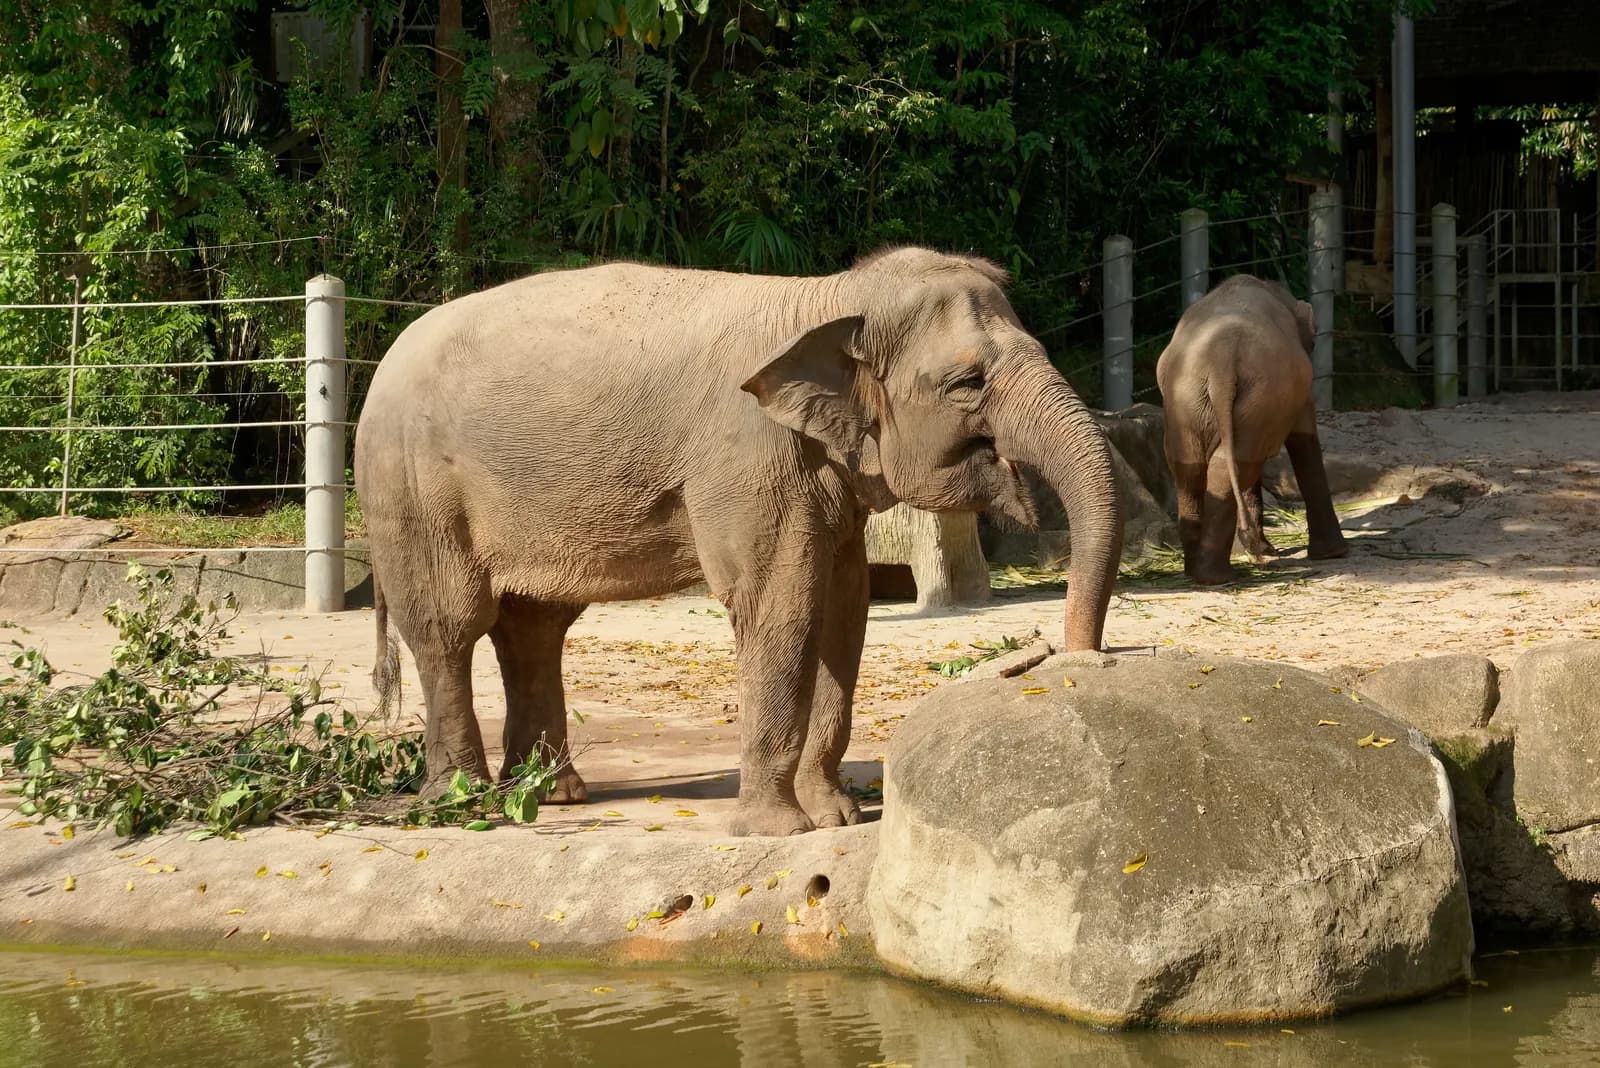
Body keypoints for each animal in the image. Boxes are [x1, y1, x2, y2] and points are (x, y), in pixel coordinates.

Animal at [353, 246, 1124, 837]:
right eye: (967, 382)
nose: (1077, 659)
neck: (828, 298)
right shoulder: (749, 459)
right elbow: (781, 603)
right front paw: (780, 832)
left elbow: (844, 605)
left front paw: (838, 817)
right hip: (413, 490)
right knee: (451, 627)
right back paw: (465, 803)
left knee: (533, 627)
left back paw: (550, 793)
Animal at [1155, 274, 1348, 585]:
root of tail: (1220, 362)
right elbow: (1304, 440)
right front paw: (1334, 554)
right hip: (1257, 395)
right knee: (1236, 463)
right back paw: (1220, 574)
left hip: (1188, 398)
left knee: (1194, 467)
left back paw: (1200, 572)